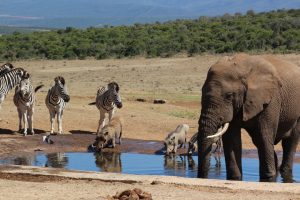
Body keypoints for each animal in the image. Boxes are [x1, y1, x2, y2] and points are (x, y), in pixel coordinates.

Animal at [198, 53, 298, 181]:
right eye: (201, 92)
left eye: (229, 95)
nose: (201, 177)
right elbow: (231, 139)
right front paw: (235, 178)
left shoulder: (270, 100)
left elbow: (264, 135)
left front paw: (268, 178)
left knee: (289, 141)